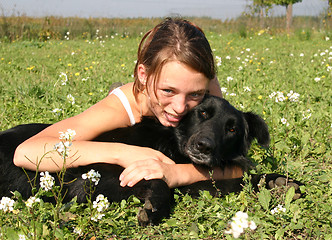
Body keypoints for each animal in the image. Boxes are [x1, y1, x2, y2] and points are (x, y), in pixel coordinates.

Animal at [0, 95, 302, 225]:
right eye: (202, 113)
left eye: (232, 129)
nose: (203, 146)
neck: (172, 144)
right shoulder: (92, 178)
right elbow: (159, 181)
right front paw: (154, 206)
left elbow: (239, 180)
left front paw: (280, 181)